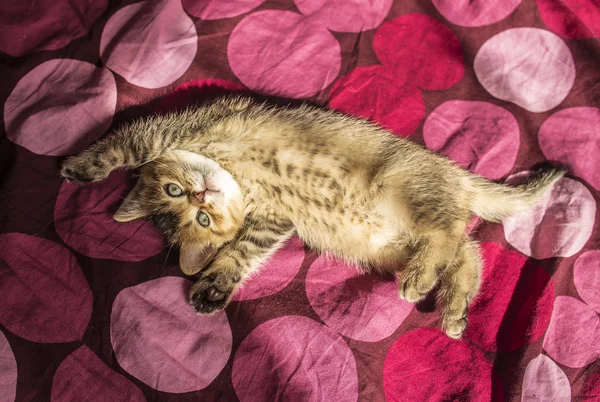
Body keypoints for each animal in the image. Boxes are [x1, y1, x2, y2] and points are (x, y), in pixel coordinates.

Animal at [63, 96, 564, 338]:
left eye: (176, 192)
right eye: (198, 221)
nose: (202, 196)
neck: (238, 181)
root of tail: (453, 172)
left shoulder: (177, 128)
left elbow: (124, 146)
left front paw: (79, 167)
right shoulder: (272, 220)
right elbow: (243, 252)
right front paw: (215, 287)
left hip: (405, 185)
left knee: (450, 232)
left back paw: (419, 282)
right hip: (389, 244)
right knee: (467, 251)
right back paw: (455, 308)